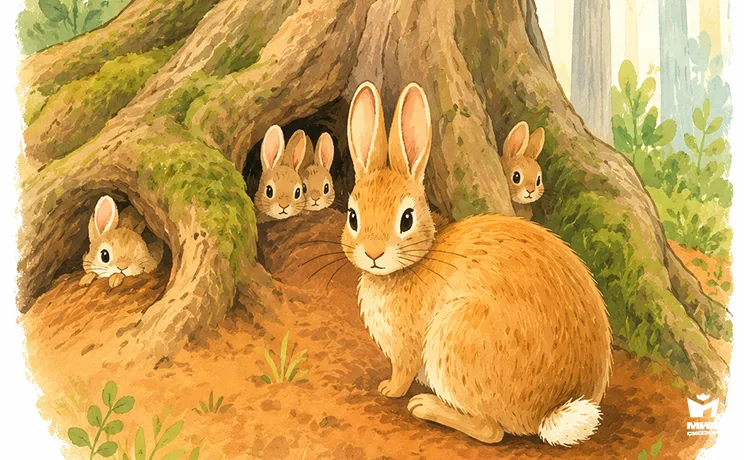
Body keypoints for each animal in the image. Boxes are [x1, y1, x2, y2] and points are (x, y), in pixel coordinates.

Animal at [341, 81, 612, 447]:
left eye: (407, 219)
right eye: (353, 217)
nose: (373, 254)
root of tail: (552, 410)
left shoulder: (407, 346)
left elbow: (402, 372)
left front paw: (389, 390)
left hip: (454, 337)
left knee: (491, 431)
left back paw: (426, 406)